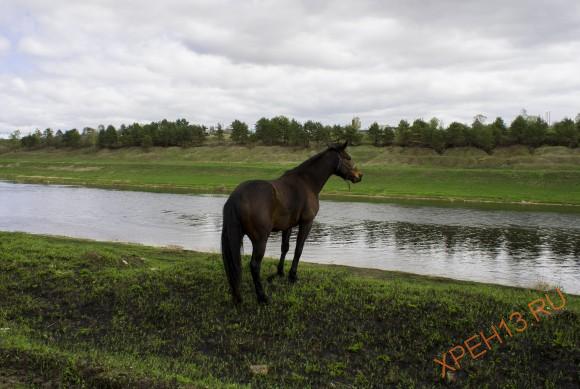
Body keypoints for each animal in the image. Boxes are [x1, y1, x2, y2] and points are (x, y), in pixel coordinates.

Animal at [221, 142, 362, 304]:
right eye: (348, 158)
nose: (359, 175)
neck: (306, 182)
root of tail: (236, 197)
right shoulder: (306, 223)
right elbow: (298, 249)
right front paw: (292, 276)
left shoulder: (287, 226)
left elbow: (285, 248)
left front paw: (280, 272)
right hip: (260, 240)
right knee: (255, 265)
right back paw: (262, 296)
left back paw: (237, 295)